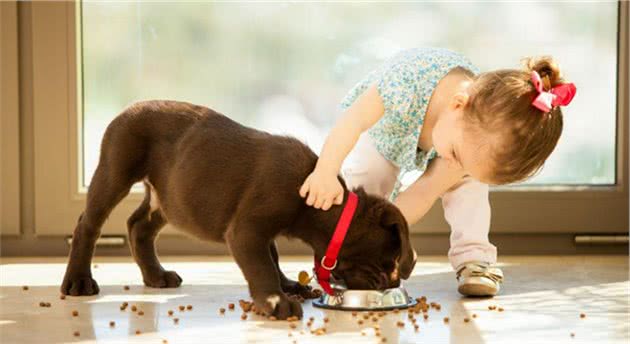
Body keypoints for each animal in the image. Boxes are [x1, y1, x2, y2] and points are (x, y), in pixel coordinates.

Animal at [61, 99, 418, 320]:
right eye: (389, 261)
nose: (390, 283)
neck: (323, 205)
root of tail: (129, 107)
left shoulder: (262, 231)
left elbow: (273, 257)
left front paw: (288, 286)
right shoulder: (248, 230)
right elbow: (261, 266)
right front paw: (276, 301)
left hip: (169, 197)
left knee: (139, 225)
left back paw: (156, 275)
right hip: (115, 170)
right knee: (88, 224)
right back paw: (79, 281)